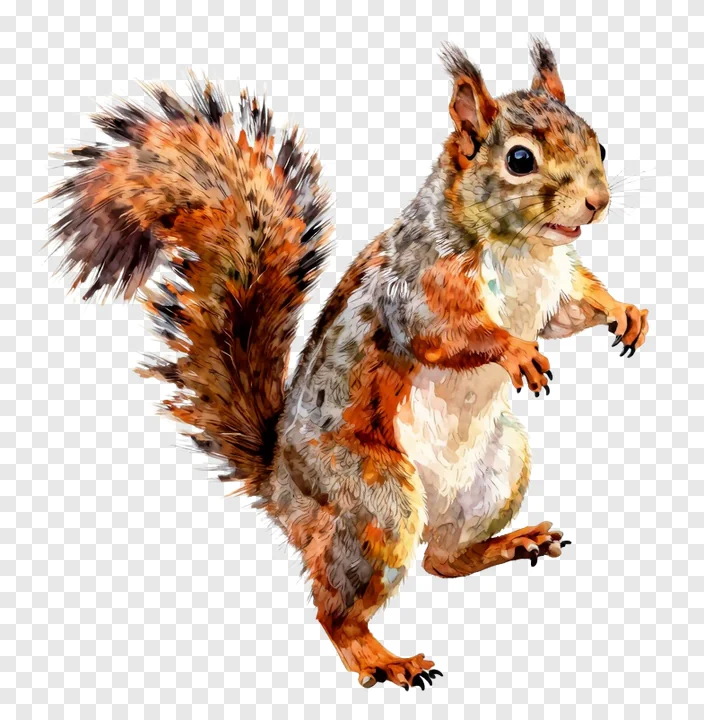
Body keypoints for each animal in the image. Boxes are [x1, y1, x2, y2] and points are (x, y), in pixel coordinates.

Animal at [48, 39, 649, 690]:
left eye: (599, 145)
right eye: (519, 159)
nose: (598, 203)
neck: (524, 249)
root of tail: (280, 486)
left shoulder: (555, 287)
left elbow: (575, 308)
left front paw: (626, 312)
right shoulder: (418, 284)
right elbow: (447, 332)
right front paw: (515, 350)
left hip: (498, 469)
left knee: (442, 561)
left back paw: (511, 544)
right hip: (373, 500)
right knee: (337, 609)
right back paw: (383, 659)